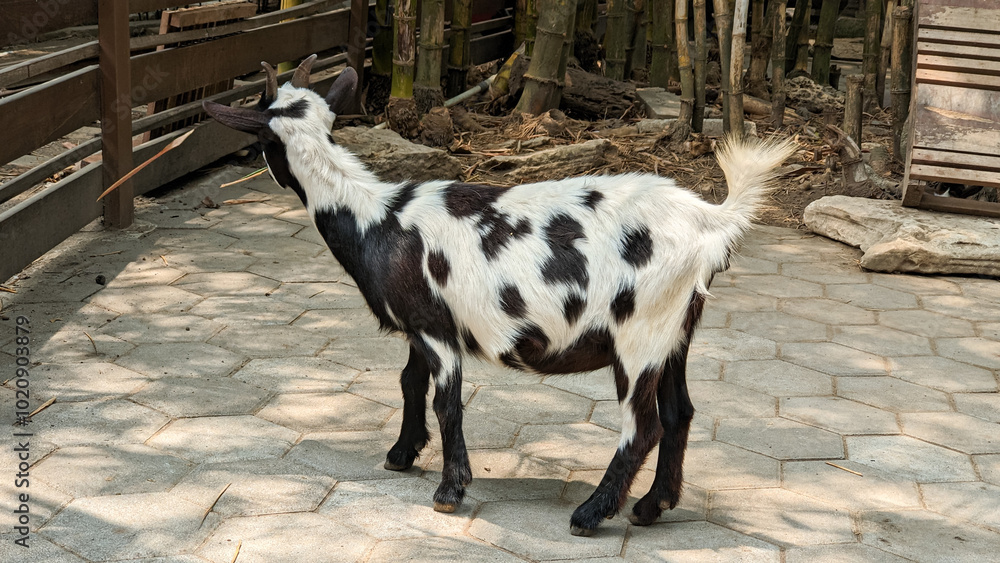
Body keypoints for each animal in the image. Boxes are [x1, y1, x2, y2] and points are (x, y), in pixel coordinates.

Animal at [203, 55, 796, 536]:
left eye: (266, 142)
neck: (377, 218)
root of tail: (711, 220)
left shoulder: (436, 328)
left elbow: (446, 403)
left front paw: (449, 491)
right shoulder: (421, 325)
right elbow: (409, 382)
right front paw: (401, 453)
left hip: (640, 333)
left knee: (644, 425)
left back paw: (591, 514)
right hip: (676, 331)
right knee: (680, 413)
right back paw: (651, 507)